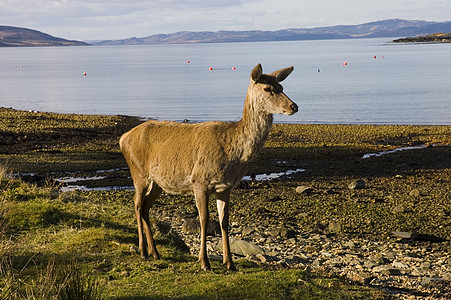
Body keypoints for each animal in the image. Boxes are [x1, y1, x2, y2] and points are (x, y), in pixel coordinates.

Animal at [118, 62, 298, 270]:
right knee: (137, 204)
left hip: (158, 183)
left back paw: (155, 252)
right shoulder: (199, 181)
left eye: (281, 87)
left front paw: (230, 263)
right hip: (139, 173)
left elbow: (224, 222)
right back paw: (143, 251)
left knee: (146, 206)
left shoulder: (226, 186)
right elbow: (204, 220)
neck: (233, 151)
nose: (294, 106)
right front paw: (204, 262)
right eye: (267, 88)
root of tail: (122, 138)